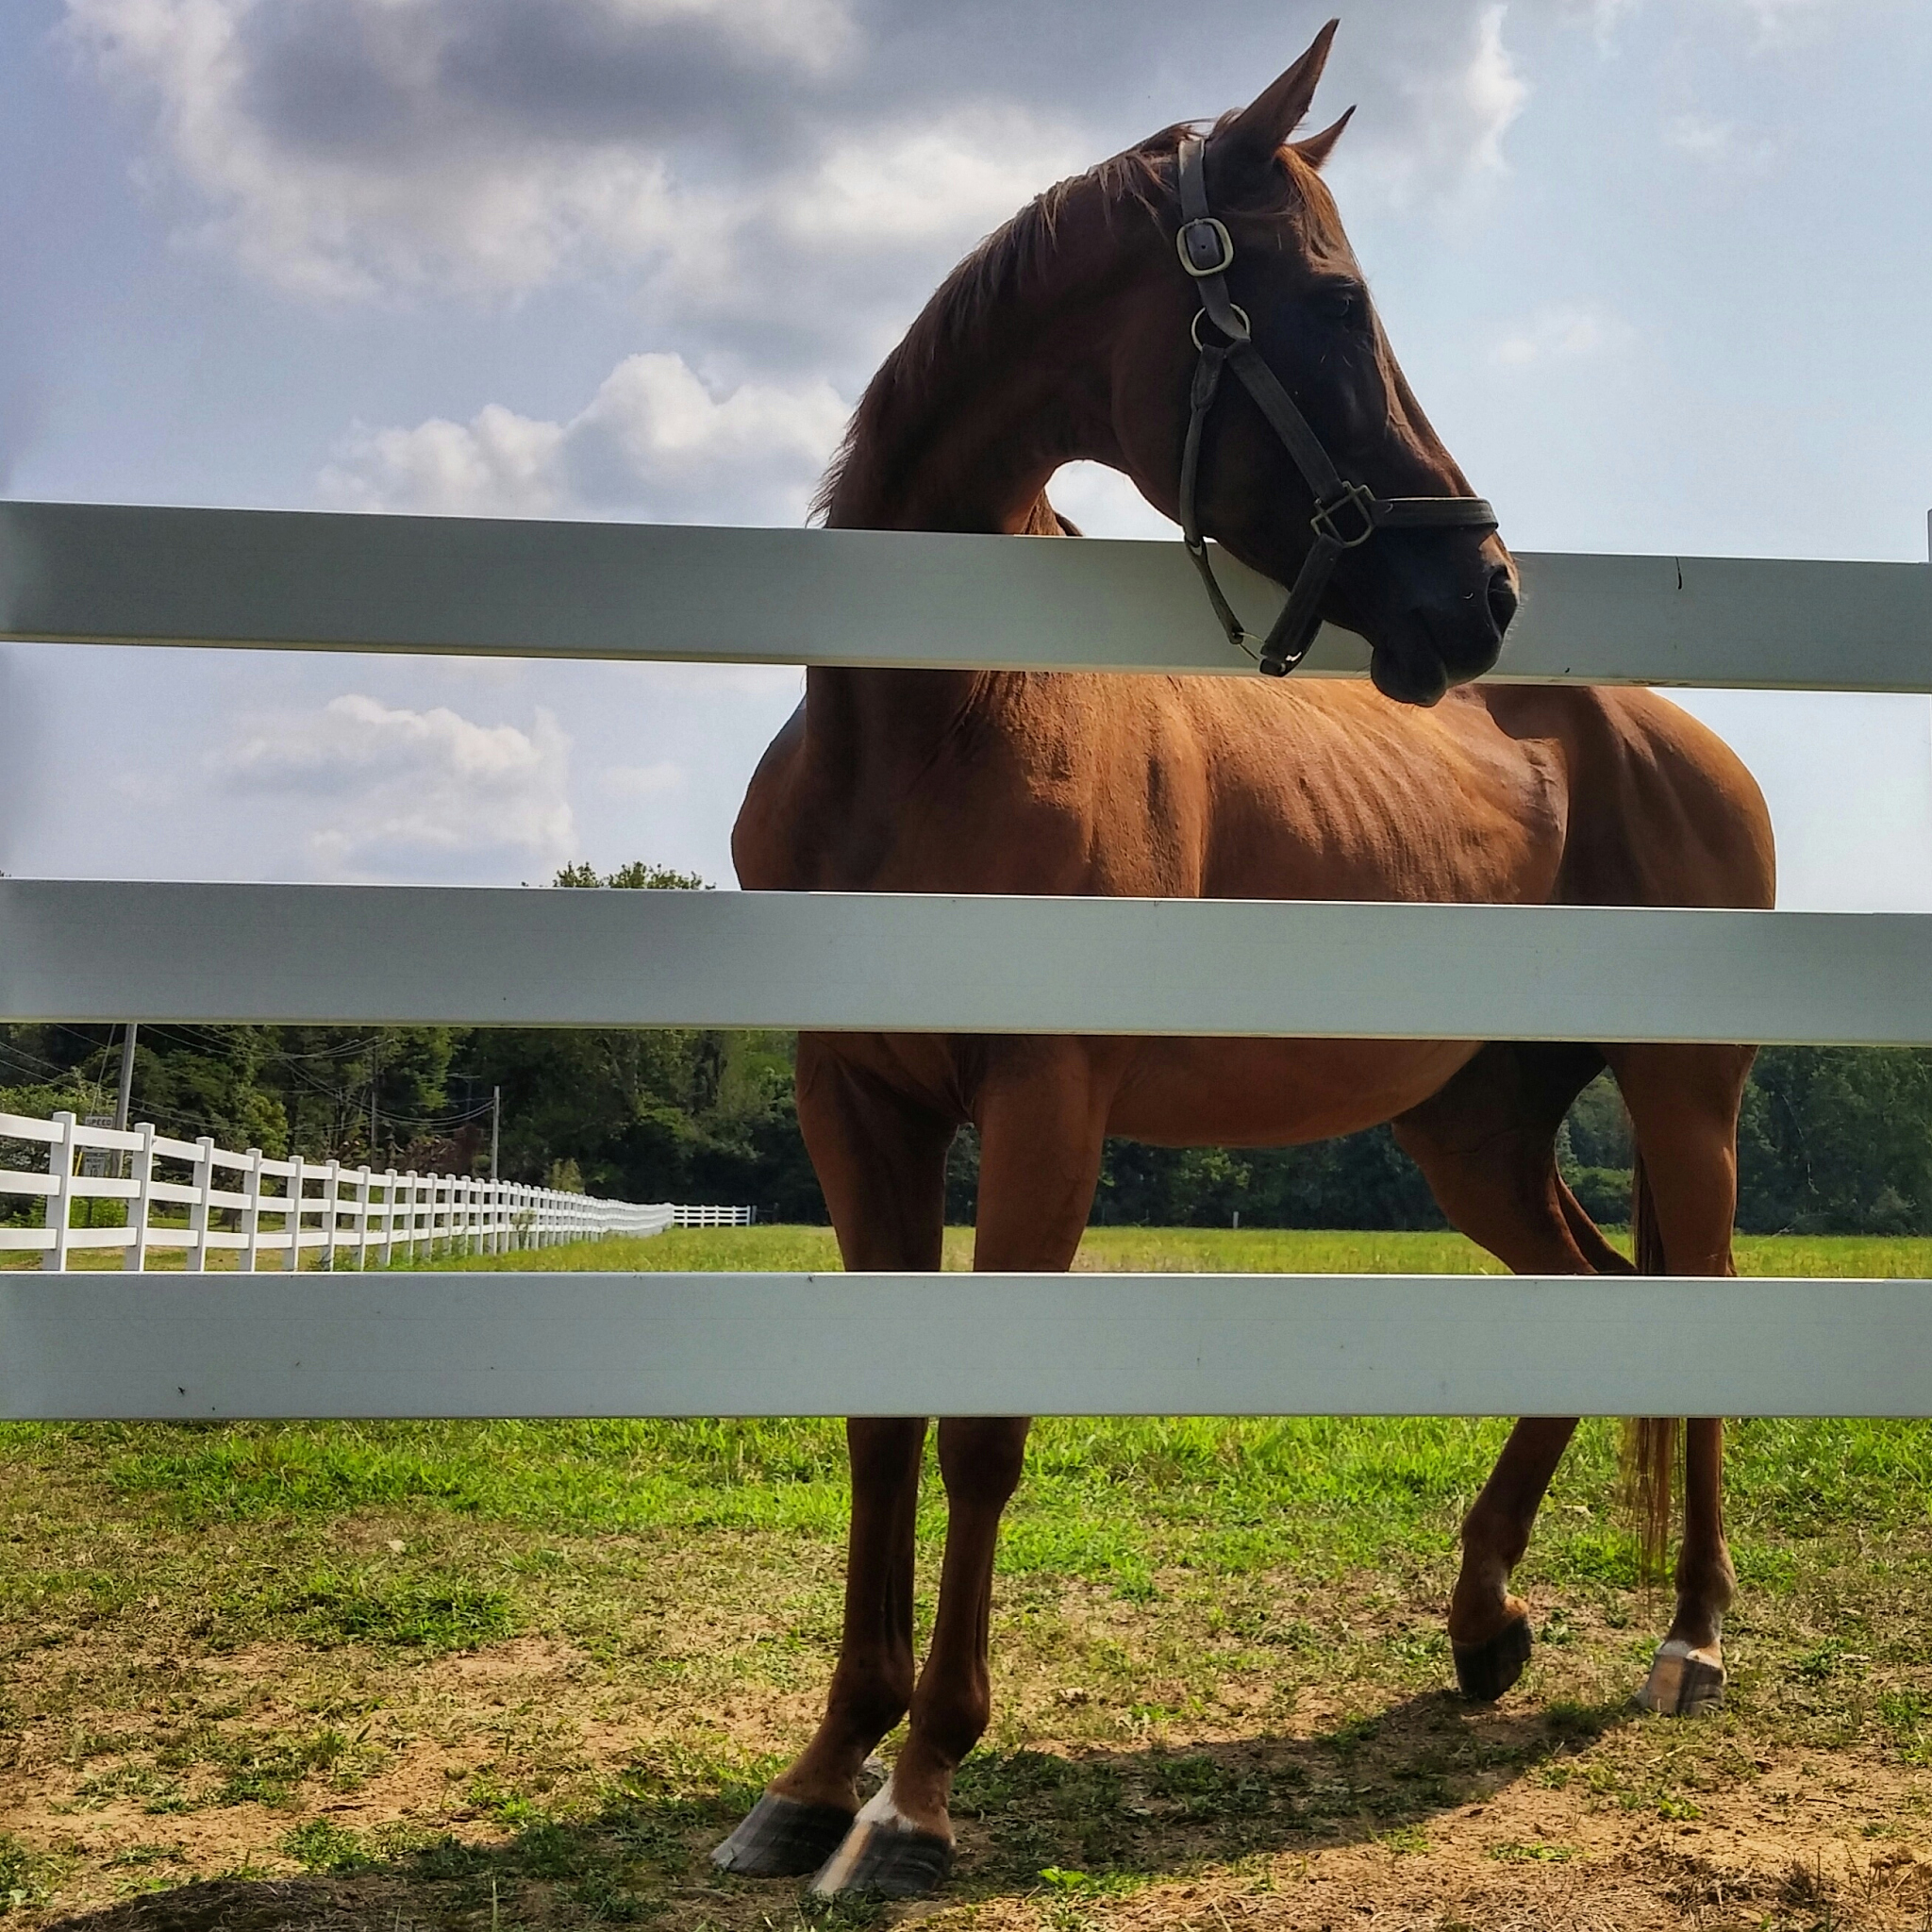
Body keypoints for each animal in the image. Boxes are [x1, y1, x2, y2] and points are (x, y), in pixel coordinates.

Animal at [719, 20, 1774, 1901]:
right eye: (1334, 304)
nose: (1486, 589)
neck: (928, 715)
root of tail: (1669, 733)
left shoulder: (1046, 1101)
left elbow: (979, 1432)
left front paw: (917, 1797)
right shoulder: (854, 1101)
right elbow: (882, 1422)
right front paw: (816, 1775)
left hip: (1681, 1104)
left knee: (1690, 1321)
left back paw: (1692, 1635)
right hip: (1473, 1128)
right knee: (1586, 1297)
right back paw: (1484, 1620)